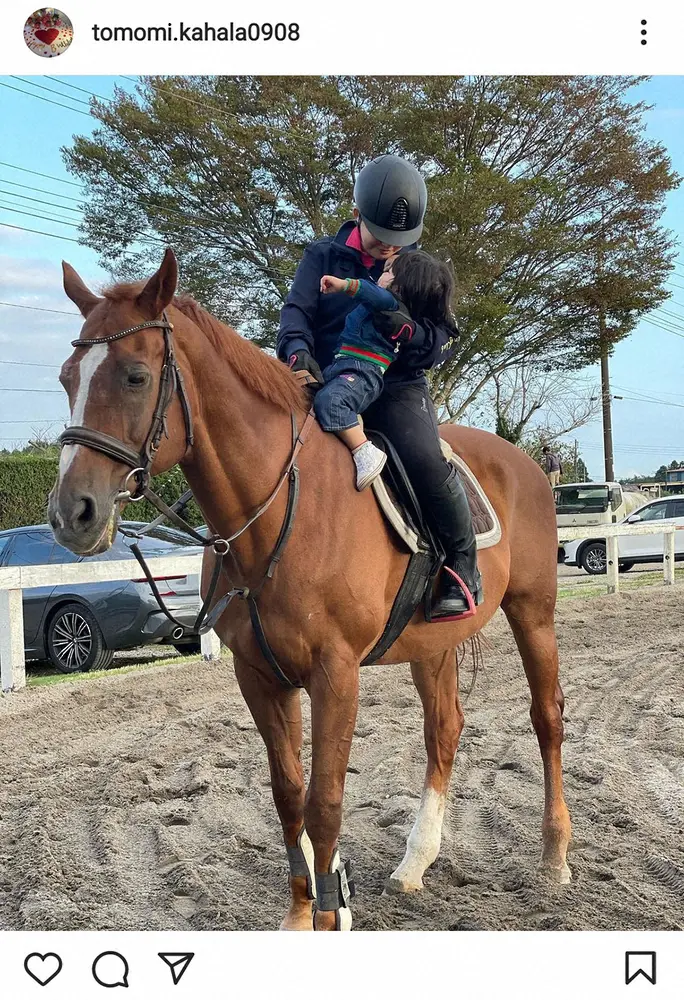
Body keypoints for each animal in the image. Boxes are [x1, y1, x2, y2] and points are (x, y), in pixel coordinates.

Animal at [48, 248, 571, 931]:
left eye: (135, 377)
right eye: (66, 379)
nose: (71, 514)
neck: (276, 512)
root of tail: (527, 462)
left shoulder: (335, 674)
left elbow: (325, 800)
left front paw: (330, 913)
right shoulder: (261, 675)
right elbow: (288, 795)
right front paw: (302, 914)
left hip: (533, 612)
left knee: (546, 719)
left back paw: (555, 859)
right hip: (433, 645)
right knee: (444, 729)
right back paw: (416, 861)